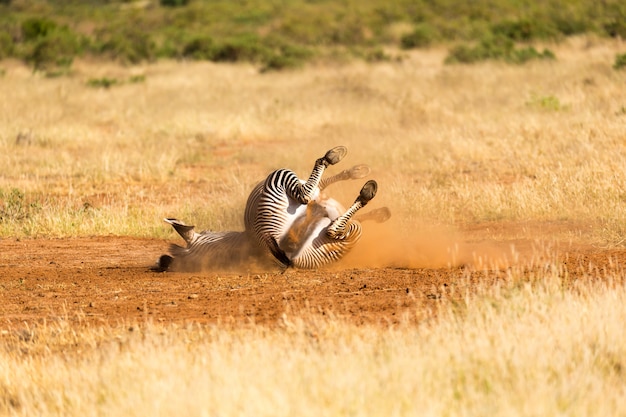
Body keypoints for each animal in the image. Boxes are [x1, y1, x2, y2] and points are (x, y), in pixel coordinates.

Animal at [156, 145, 388, 272]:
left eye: (207, 231)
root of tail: (272, 239)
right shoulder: (314, 196)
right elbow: (320, 186)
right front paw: (355, 171)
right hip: (281, 183)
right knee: (326, 219)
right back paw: (357, 181)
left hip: (333, 244)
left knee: (337, 225)